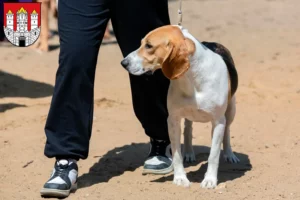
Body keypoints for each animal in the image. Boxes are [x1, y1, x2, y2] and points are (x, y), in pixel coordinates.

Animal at [120, 25, 240, 189]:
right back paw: (189, 153)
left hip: (231, 111)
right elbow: (176, 154)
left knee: (227, 131)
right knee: (188, 129)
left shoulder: (218, 122)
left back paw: (229, 154)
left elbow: (213, 155)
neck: (192, 79)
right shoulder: (173, 120)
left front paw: (210, 180)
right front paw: (180, 178)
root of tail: (211, 42)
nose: (123, 63)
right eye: (141, 43)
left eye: (149, 46)